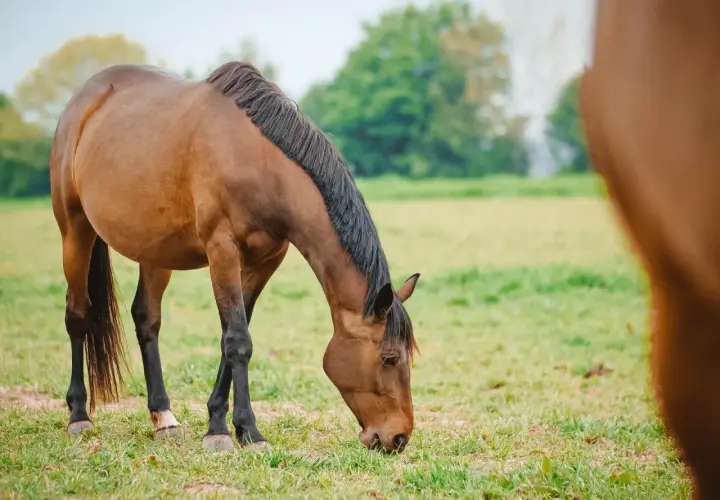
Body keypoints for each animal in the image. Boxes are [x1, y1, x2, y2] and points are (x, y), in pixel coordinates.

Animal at [49, 61, 420, 454]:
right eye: (389, 357)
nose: (398, 437)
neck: (261, 166)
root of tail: (83, 100)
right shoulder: (222, 250)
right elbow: (239, 341)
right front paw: (248, 432)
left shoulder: (264, 262)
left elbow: (233, 336)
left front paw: (220, 425)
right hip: (75, 230)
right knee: (77, 315)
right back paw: (79, 416)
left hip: (155, 251)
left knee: (146, 319)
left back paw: (164, 417)